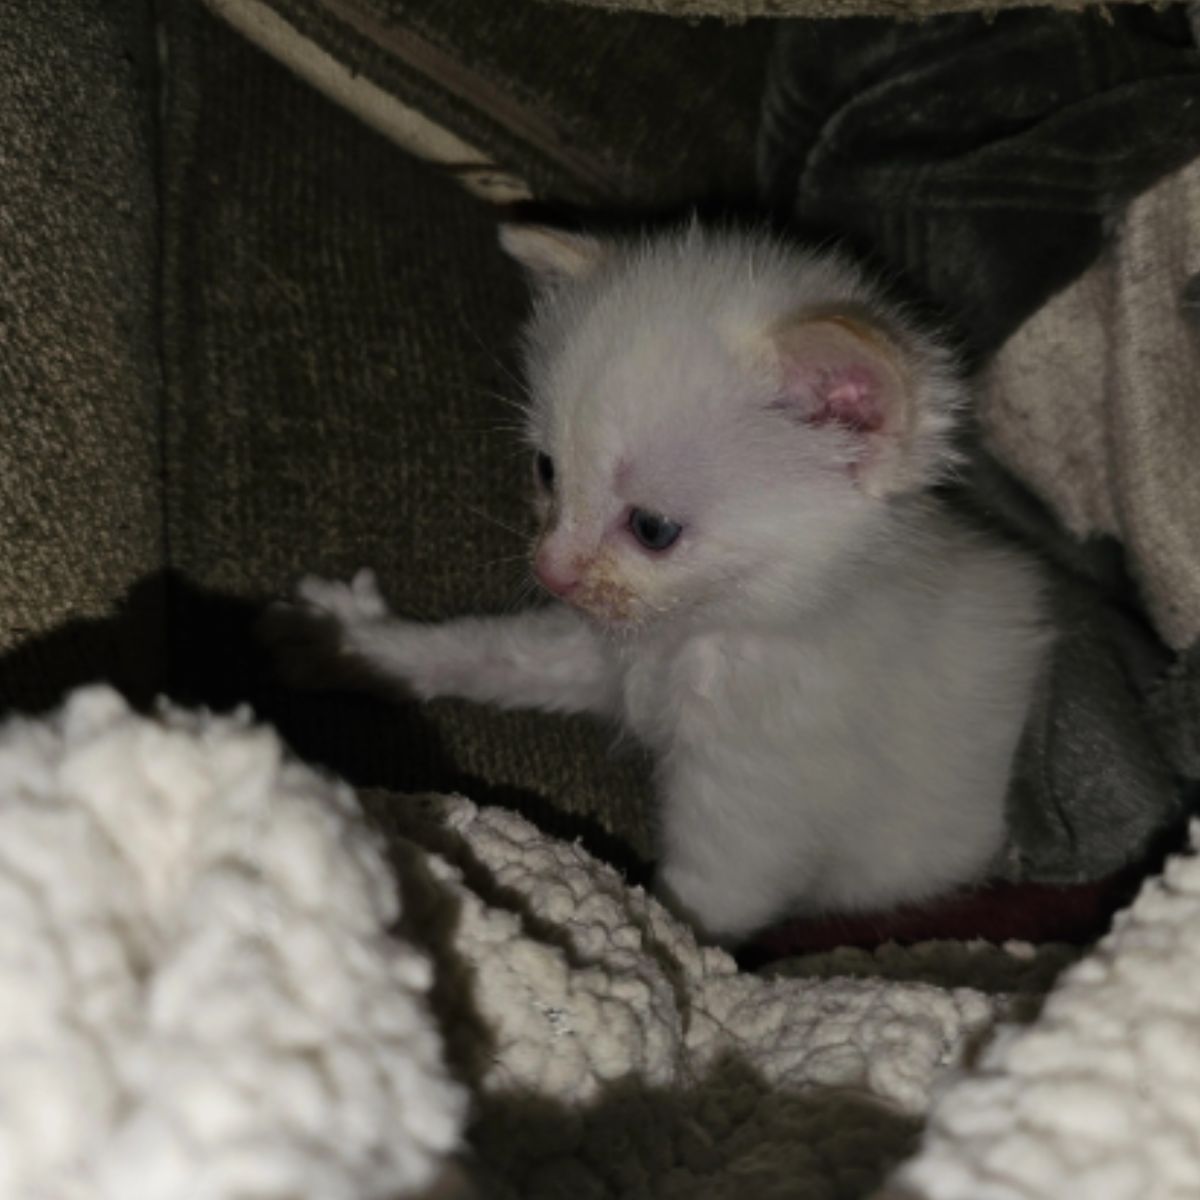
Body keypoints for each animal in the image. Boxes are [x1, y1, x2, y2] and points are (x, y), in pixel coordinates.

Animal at [274, 220, 1051, 940]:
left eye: (652, 529)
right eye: (546, 472)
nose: (549, 571)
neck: (717, 632)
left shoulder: (759, 800)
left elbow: (701, 910)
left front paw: (659, 950)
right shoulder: (610, 649)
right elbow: (493, 653)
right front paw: (354, 645)